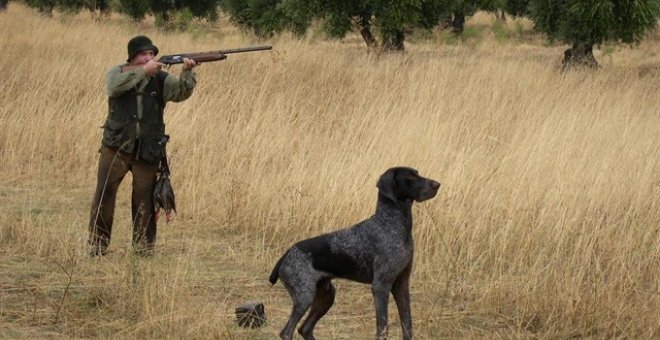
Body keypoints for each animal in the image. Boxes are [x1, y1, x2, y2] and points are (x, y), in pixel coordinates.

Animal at [268, 167, 438, 340]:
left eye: (417, 173)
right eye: (410, 176)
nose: (437, 184)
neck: (394, 223)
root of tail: (286, 254)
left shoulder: (401, 286)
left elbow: (407, 326)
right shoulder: (381, 286)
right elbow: (382, 327)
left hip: (326, 296)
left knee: (305, 328)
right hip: (304, 296)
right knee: (287, 332)